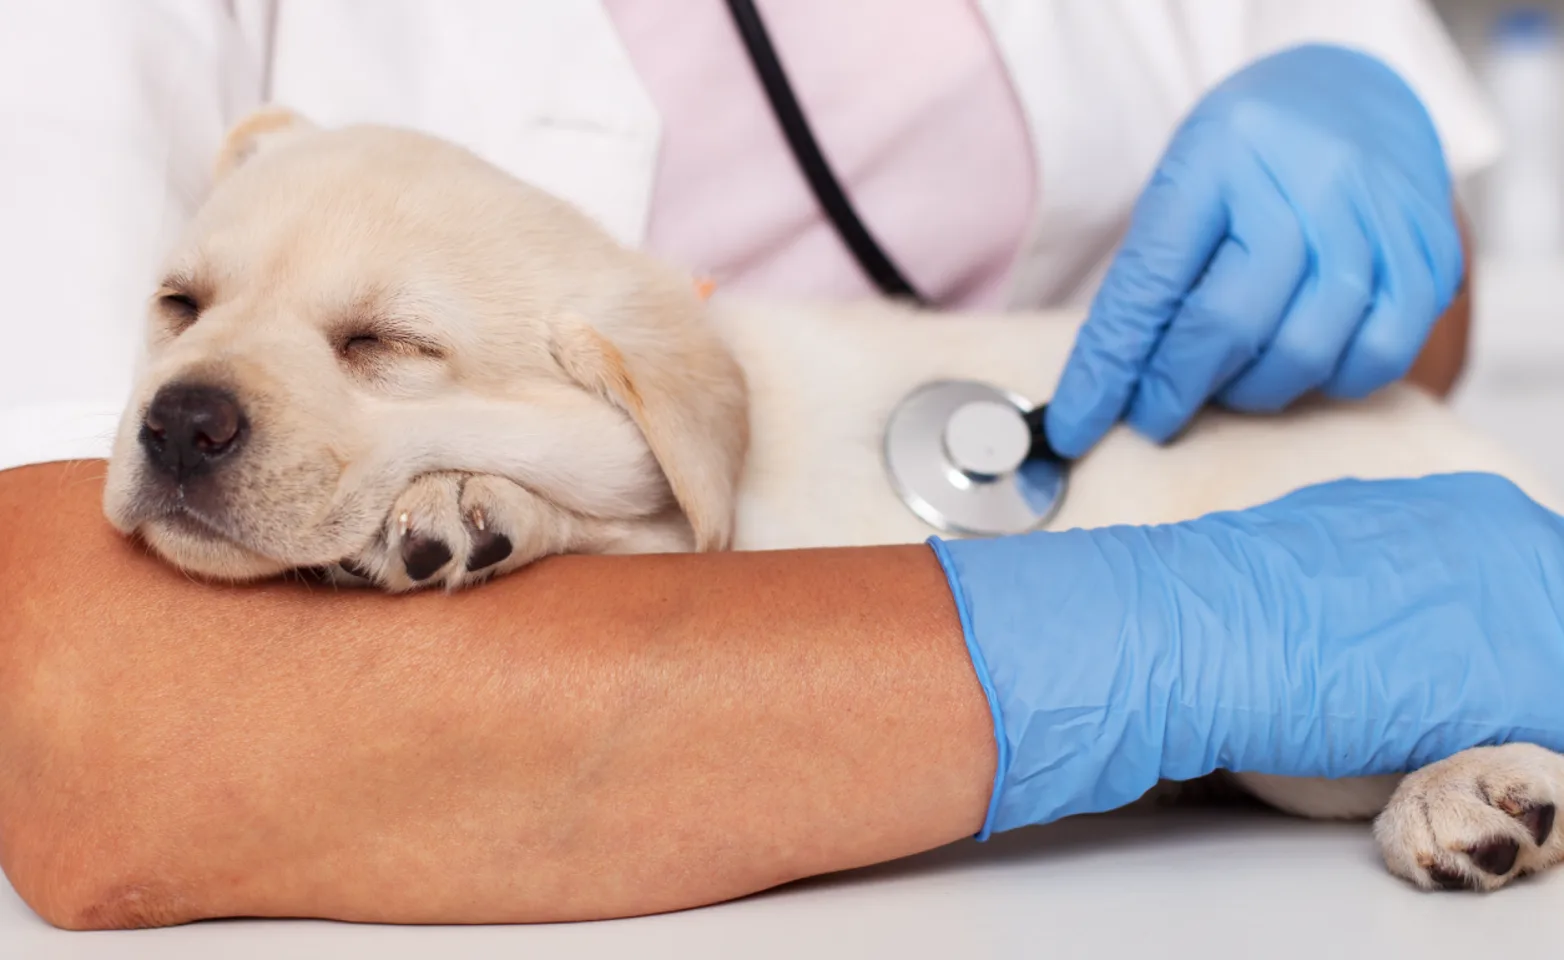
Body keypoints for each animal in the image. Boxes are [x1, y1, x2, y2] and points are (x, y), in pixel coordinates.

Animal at [100, 109, 1564, 900]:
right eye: (177, 305)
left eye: (388, 346)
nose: (177, 423)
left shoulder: (699, 525)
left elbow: (608, 512)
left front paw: (464, 496)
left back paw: (1477, 789)